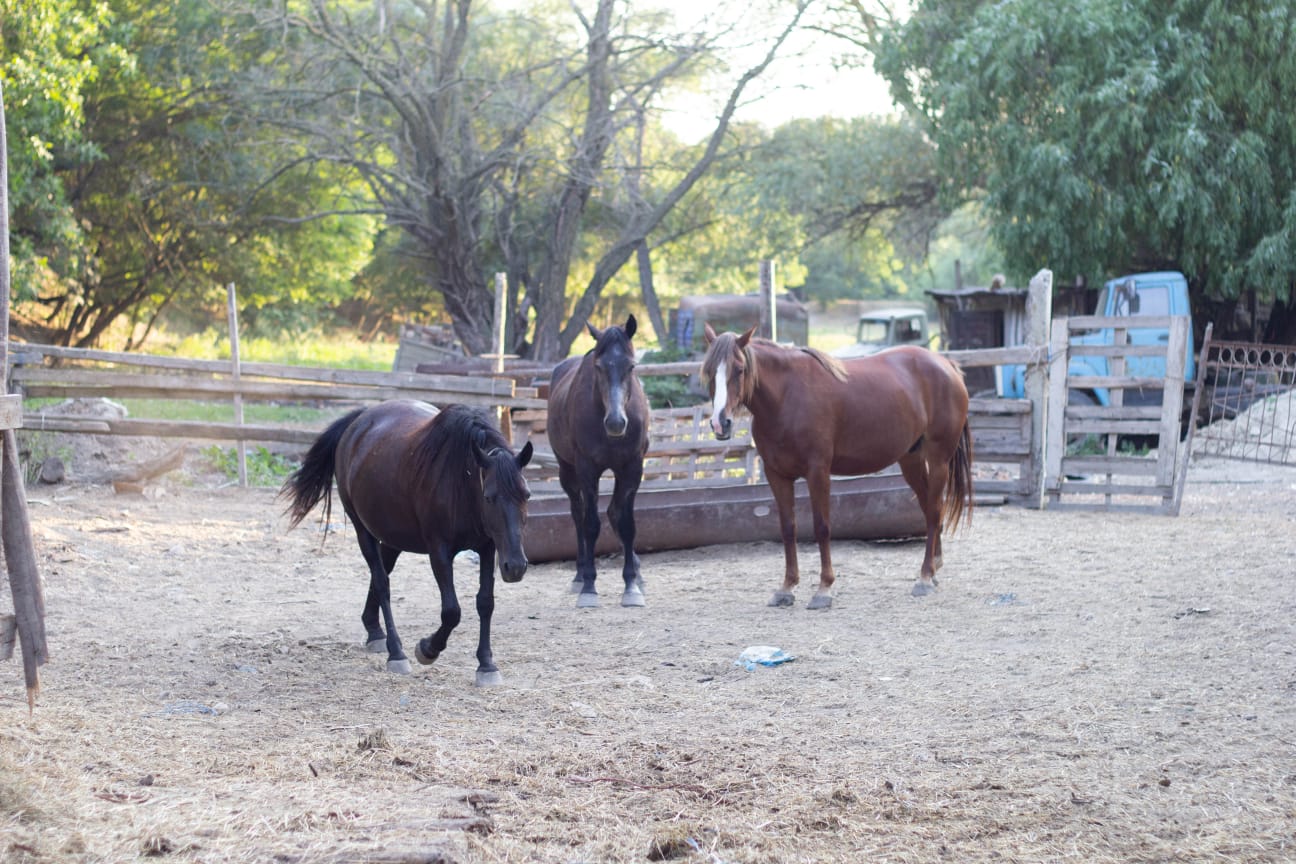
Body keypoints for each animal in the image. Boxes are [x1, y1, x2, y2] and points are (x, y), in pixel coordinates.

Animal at [279, 401, 531, 689]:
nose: (516, 566)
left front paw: (487, 664)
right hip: (362, 529)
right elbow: (451, 611)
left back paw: (374, 630)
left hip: (392, 535)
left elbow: (485, 603)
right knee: (381, 582)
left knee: (381, 575)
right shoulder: (439, 551)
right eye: (489, 497)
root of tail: (359, 420)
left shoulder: (488, 547)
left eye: (526, 495)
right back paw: (395, 651)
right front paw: (427, 649)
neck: (461, 480)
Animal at [544, 314, 648, 606]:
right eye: (599, 367)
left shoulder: (632, 468)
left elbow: (627, 524)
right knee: (578, 515)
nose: (615, 422)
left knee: (614, 512)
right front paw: (589, 587)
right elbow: (591, 525)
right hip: (567, 472)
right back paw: (580, 576)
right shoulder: (587, 469)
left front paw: (631, 586)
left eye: (631, 366)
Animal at [699, 326, 974, 608]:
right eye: (708, 370)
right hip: (911, 460)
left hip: (938, 460)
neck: (786, 397)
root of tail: (947, 365)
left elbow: (822, 527)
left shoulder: (818, 472)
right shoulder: (777, 476)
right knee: (930, 509)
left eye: (740, 369)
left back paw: (925, 576)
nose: (720, 423)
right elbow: (788, 528)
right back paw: (934, 569)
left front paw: (824, 588)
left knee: (935, 511)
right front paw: (786, 587)